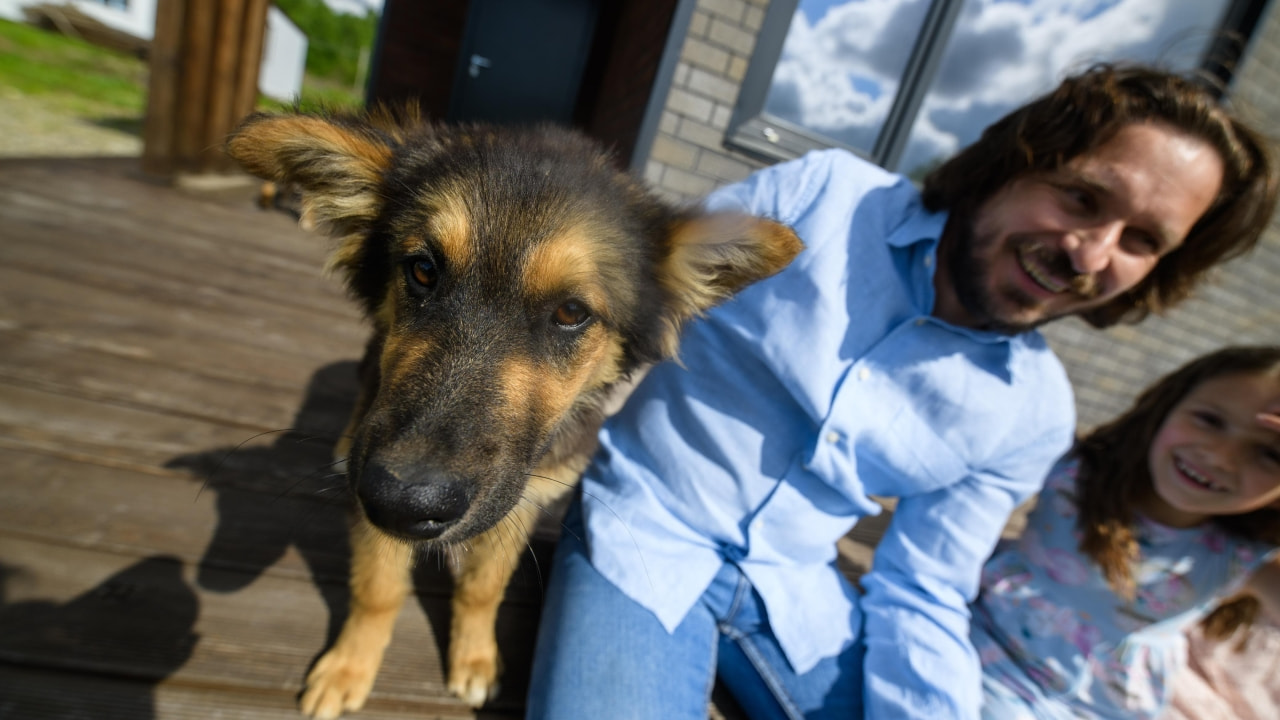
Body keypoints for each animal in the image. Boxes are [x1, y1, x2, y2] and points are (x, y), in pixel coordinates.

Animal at [221, 109, 798, 712]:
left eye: (571, 312)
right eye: (422, 270)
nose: (404, 503)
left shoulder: (522, 501)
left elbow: (483, 588)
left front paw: (474, 657)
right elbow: (378, 588)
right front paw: (350, 666)